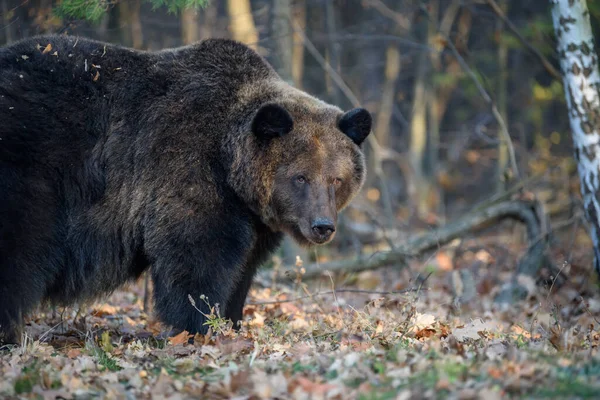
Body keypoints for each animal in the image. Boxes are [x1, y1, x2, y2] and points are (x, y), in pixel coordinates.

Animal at [0, 34, 372, 344]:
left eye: (336, 179)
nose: (322, 226)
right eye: (300, 177)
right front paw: (196, 328)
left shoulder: (254, 222)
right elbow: (196, 259)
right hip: (33, 165)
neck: (231, 167)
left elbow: (242, 269)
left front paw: (230, 322)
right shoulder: (188, 169)